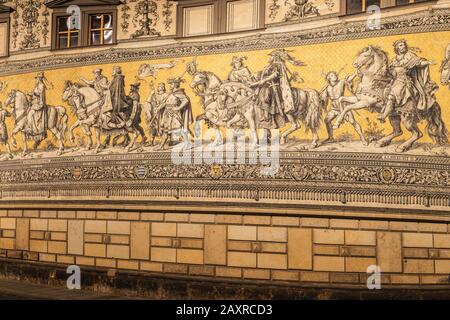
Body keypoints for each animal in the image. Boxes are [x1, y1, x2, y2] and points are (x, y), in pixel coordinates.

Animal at [190, 70, 324, 148]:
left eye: (199, 77)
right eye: (194, 77)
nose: (191, 85)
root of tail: (306, 91)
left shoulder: (248, 117)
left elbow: (252, 128)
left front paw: (255, 144)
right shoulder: (236, 116)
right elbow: (226, 124)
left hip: (291, 113)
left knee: (296, 125)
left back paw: (283, 139)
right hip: (301, 114)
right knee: (310, 125)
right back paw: (314, 143)